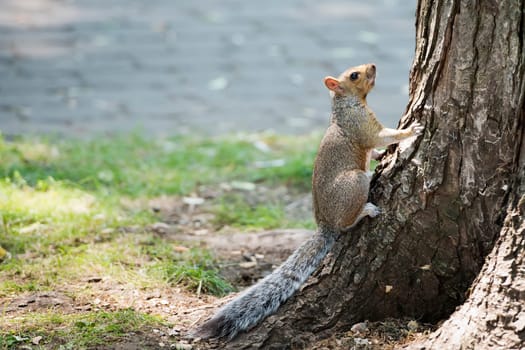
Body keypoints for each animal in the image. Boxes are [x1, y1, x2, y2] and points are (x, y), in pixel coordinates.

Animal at [190, 62, 424, 340]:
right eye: (354, 75)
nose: (373, 65)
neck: (348, 104)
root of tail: (326, 224)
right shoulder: (360, 126)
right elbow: (382, 136)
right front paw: (411, 130)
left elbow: (377, 147)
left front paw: (381, 155)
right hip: (354, 183)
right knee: (347, 222)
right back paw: (365, 210)